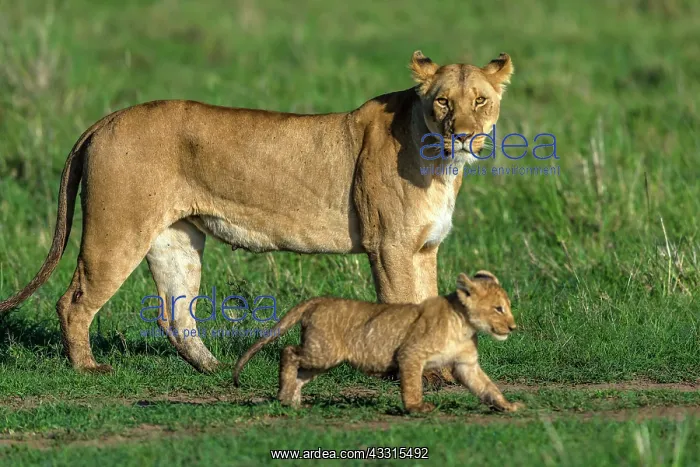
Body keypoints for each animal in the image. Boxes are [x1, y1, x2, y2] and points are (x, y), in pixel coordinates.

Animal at [0, 50, 514, 376]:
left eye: (480, 100)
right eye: (443, 101)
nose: (464, 135)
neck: (441, 163)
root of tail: (108, 118)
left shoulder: (424, 248)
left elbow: (427, 304)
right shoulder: (389, 246)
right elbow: (404, 305)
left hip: (176, 238)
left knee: (175, 313)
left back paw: (213, 369)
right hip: (117, 231)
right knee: (74, 301)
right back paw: (87, 368)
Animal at [233, 270, 524, 414]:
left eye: (507, 307)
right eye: (498, 308)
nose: (513, 327)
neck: (463, 325)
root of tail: (319, 299)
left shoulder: (466, 365)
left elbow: (487, 387)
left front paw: (507, 406)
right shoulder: (410, 354)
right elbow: (412, 385)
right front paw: (417, 408)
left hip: (322, 358)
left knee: (299, 370)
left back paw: (291, 401)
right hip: (323, 351)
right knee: (288, 351)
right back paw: (284, 394)